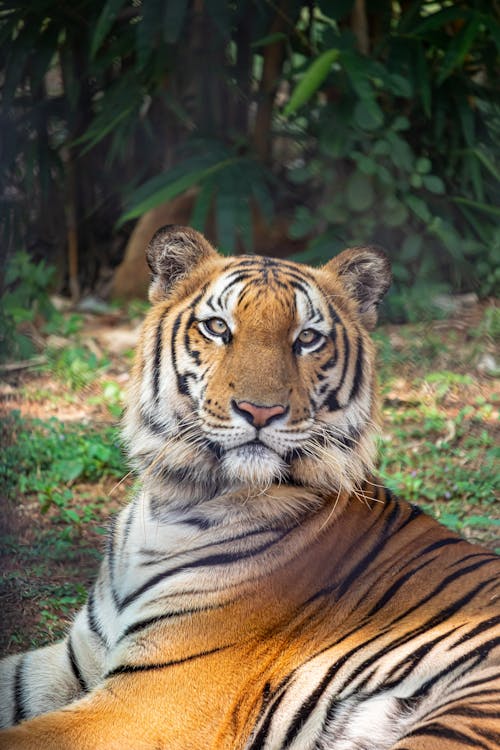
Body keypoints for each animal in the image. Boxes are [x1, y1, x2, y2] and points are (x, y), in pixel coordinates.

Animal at [0, 225, 500, 750]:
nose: (260, 411)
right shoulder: (76, 658)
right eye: (218, 328)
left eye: (307, 338)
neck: (173, 502)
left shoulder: (149, 703)